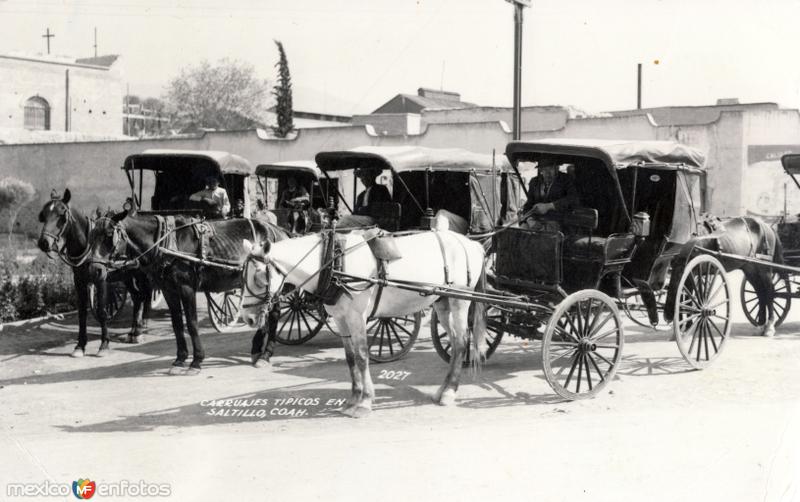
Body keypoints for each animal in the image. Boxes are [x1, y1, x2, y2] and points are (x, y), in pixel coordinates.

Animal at [37, 188, 153, 356]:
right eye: (43, 215)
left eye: (61, 215)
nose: (44, 243)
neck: (88, 245)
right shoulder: (79, 281)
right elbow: (82, 313)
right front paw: (80, 345)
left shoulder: (101, 279)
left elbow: (102, 311)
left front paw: (104, 344)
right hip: (127, 275)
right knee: (138, 297)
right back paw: (133, 332)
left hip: (141, 273)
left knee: (146, 294)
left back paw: (141, 327)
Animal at [88, 206, 288, 374]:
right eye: (92, 235)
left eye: (109, 235)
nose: (94, 270)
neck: (164, 242)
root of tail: (279, 231)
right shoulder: (168, 290)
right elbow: (177, 324)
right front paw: (179, 360)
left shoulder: (186, 288)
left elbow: (191, 324)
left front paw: (196, 361)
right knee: (263, 312)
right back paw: (256, 350)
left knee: (274, 314)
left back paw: (265, 355)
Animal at [241, 222, 484, 418]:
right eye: (243, 275)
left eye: (260, 277)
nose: (248, 318)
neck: (334, 262)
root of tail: (471, 244)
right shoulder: (341, 319)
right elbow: (350, 359)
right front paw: (353, 400)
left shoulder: (357, 317)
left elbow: (362, 357)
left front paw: (365, 402)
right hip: (442, 302)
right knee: (455, 341)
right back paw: (443, 390)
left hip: (460, 301)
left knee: (461, 342)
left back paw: (450, 392)